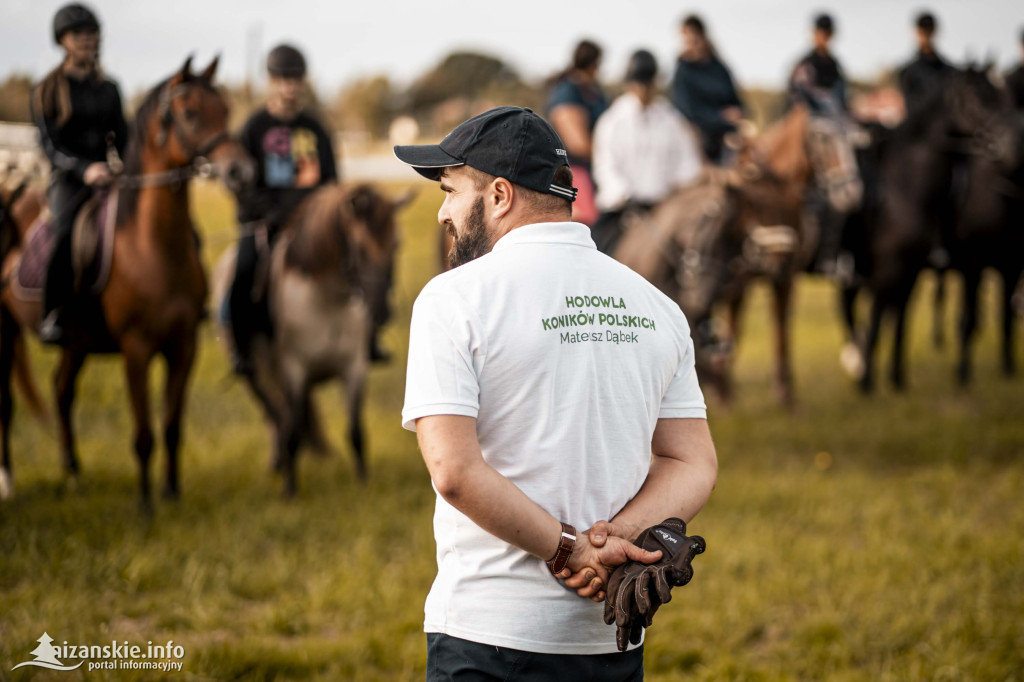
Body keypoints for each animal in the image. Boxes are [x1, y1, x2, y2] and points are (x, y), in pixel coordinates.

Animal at [1, 57, 252, 503]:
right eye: (190, 112)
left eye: (224, 109)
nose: (241, 170)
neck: (152, 247)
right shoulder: (137, 349)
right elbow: (144, 434)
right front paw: (146, 503)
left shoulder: (183, 347)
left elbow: (171, 427)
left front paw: (171, 493)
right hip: (7, 330)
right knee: (9, 406)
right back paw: (8, 480)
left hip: (76, 343)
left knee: (61, 391)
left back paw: (73, 473)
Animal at [212, 183, 411, 497]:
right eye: (359, 248)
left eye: (396, 245)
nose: (381, 312)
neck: (327, 299)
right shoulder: (293, 370)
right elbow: (292, 431)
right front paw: (290, 489)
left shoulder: (354, 369)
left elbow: (356, 431)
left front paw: (363, 483)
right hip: (256, 374)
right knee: (274, 414)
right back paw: (278, 461)